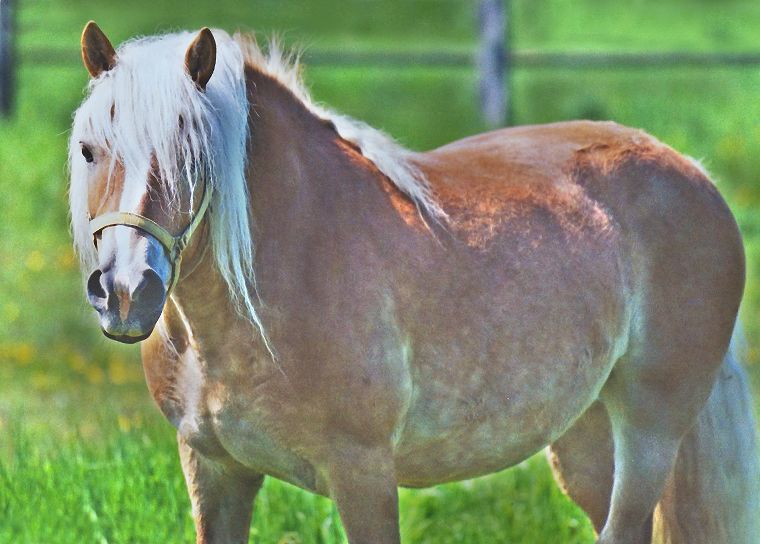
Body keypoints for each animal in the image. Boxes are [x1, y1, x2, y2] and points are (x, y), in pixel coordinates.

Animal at [69, 21, 759, 543]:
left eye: (192, 158)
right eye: (88, 150)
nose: (126, 292)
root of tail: (695, 174)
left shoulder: (363, 473)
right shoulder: (214, 471)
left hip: (651, 429)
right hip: (586, 438)